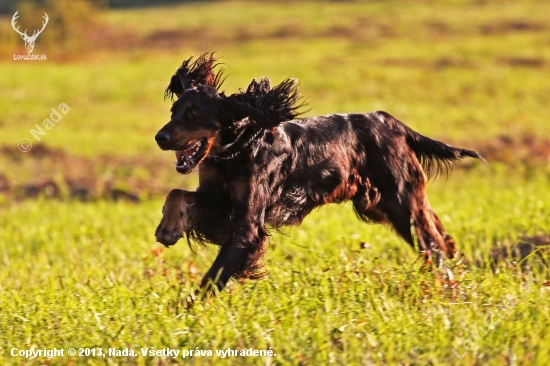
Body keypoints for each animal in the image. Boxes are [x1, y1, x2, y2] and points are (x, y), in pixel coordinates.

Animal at [154, 52, 484, 294]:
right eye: (173, 112)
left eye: (194, 113)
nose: (160, 137)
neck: (237, 150)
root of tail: (390, 122)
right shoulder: (218, 200)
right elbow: (176, 192)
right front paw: (168, 227)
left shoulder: (248, 221)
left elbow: (217, 272)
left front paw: (192, 309)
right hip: (377, 203)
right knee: (436, 230)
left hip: (401, 201)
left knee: (431, 243)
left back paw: (449, 282)